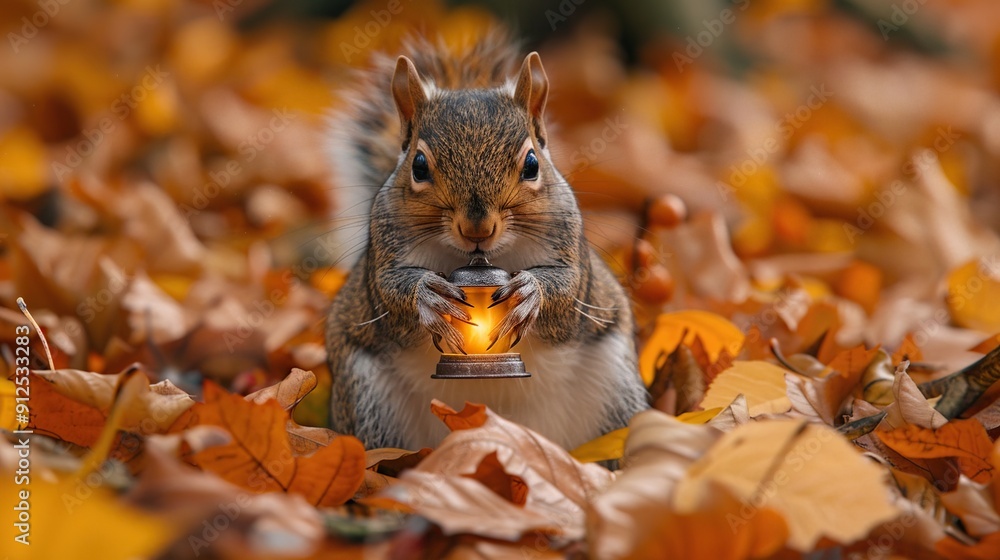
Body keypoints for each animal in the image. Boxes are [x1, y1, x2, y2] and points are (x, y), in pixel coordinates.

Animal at [322, 31, 648, 450]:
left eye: (532, 164)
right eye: (418, 166)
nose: (477, 229)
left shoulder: (573, 253)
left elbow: (567, 293)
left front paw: (530, 293)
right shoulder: (382, 253)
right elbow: (389, 293)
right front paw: (428, 295)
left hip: (617, 395)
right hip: (368, 403)